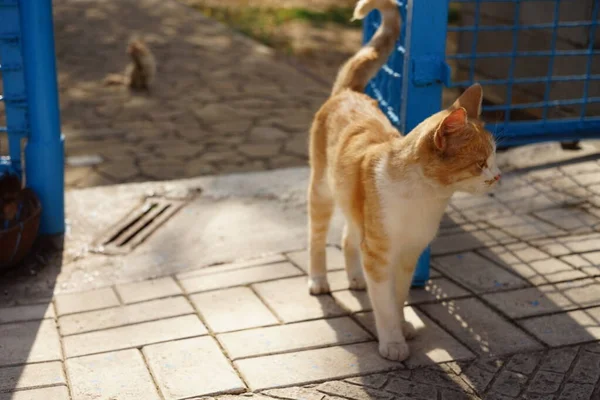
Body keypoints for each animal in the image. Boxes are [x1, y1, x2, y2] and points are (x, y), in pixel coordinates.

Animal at [308, 0, 500, 360]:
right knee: (317, 238)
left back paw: (355, 277)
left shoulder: (409, 253)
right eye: (480, 163)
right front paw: (393, 342)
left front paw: (403, 326)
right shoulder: (380, 255)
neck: (425, 198)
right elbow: (383, 304)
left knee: (349, 236)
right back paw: (318, 280)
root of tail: (350, 93)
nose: (498, 176)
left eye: (495, 157)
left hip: (353, 204)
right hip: (322, 190)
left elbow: (397, 298)